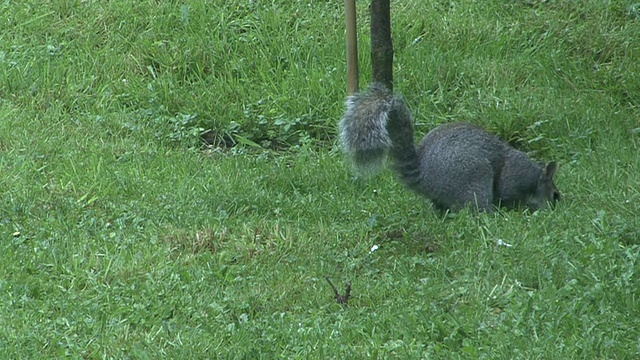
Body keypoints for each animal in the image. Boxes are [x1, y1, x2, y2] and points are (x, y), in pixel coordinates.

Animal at [340, 83, 560, 212]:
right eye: (555, 195)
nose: (557, 206)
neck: (534, 177)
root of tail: (423, 178)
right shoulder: (514, 179)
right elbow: (507, 192)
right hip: (475, 178)